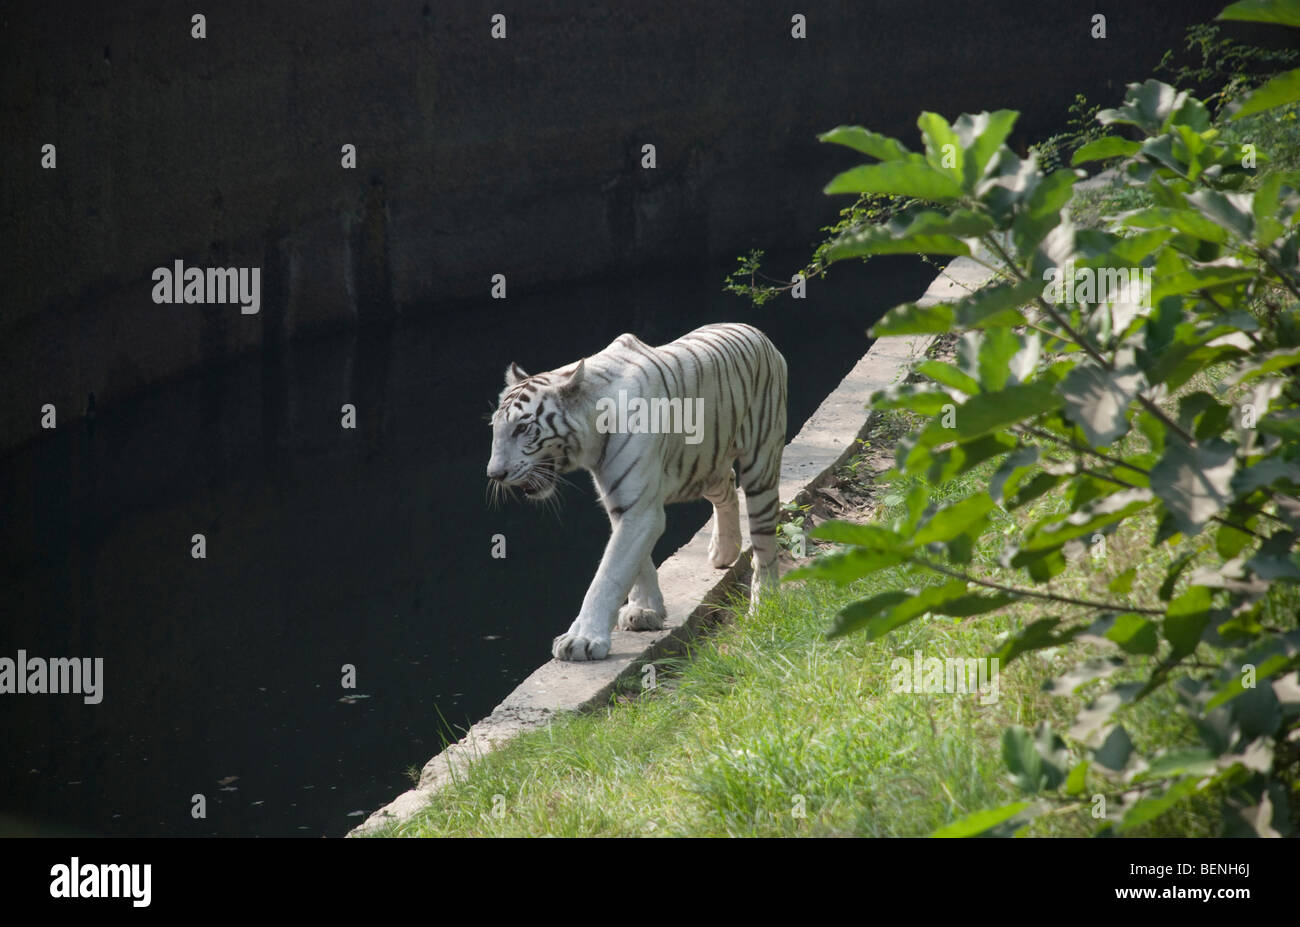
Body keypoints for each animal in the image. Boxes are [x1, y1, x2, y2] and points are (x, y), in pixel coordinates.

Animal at [488, 322, 785, 660]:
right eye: (495, 428)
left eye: (523, 428)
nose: (494, 474)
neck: (592, 437)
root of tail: (757, 332)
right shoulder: (621, 502)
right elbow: (635, 564)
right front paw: (645, 611)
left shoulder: (639, 509)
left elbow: (609, 575)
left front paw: (581, 640)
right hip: (704, 466)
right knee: (726, 485)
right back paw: (724, 551)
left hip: (760, 465)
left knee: (764, 544)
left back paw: (764, 604)